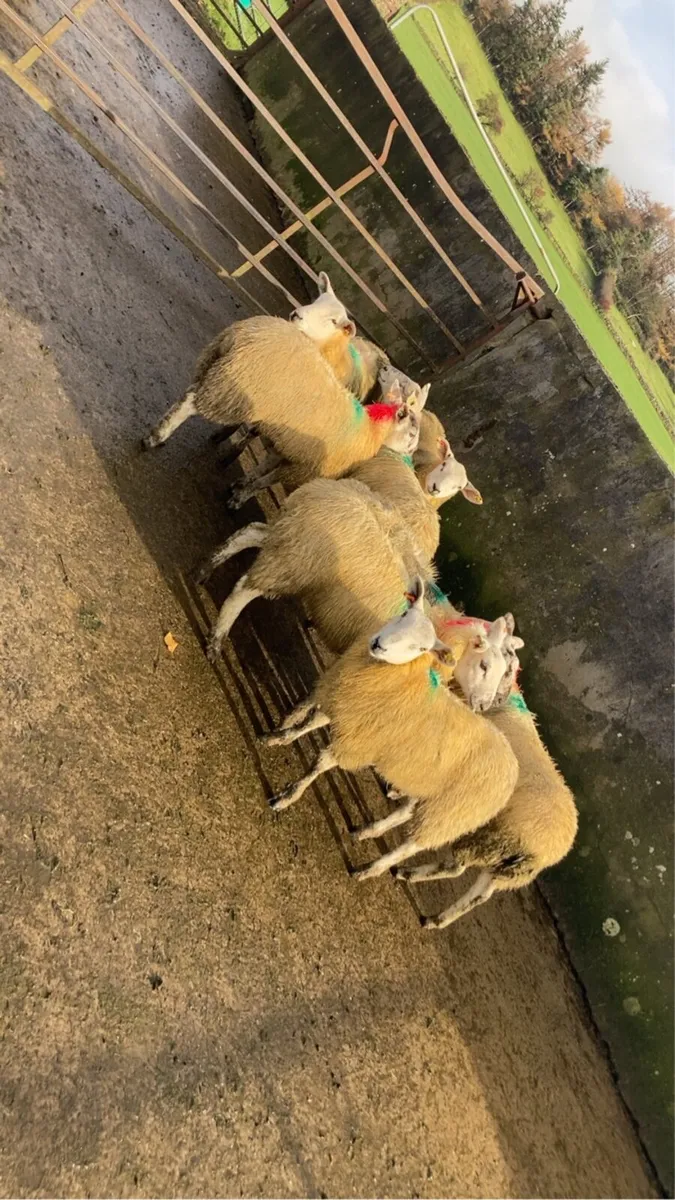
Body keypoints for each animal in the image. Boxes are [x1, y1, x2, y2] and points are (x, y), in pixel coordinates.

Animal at [262, 578, 520, 883]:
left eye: (421, 649)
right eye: (404, 614)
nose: (379, 644)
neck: (401, 680)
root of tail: (513, 770)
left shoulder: (360, 741)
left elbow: (318, 765)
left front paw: (287, 797)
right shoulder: (344, 707)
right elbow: (308, 725)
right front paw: (278, 738)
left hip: (451, 813)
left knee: (411, 846)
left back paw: (371, 870)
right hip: (427, 788)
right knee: (403, 814)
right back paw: (366, 832)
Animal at [393, 686, 578, 929]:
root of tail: (551, 852)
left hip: (489, 840)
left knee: (456, 867)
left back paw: (408, 875)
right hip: (507, 869)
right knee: (479, 894)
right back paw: (435, 916)